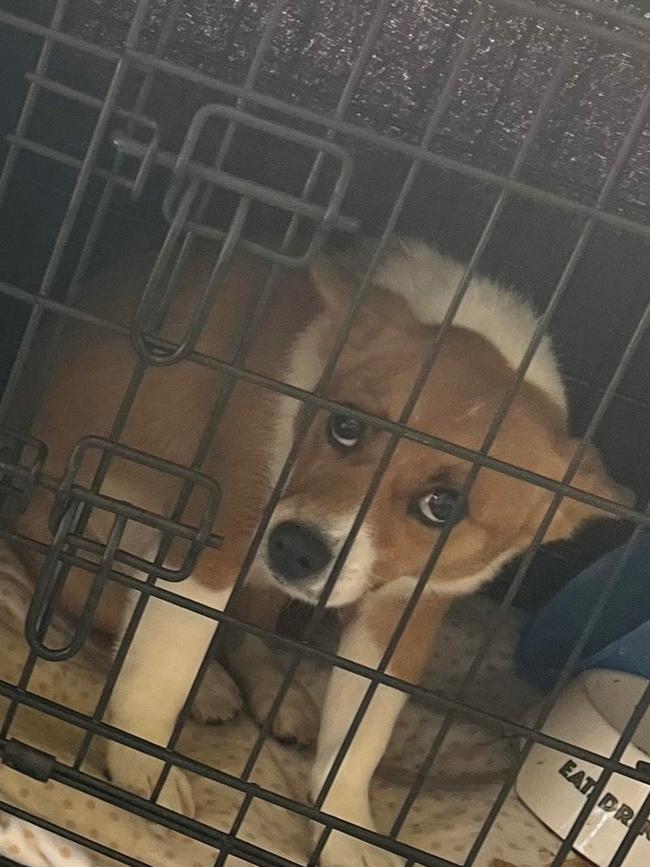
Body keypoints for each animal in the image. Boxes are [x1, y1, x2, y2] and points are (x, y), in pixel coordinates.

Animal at [8, 237, 628, 867]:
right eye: (345, 426)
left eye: (444, 505)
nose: (294, 549)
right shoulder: (213, 548)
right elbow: (164, 666)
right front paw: (139, 759)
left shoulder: (401, 619)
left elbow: (358, 742)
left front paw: (345, 829)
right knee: (125, 615)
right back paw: (208, 686)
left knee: (235, 632)